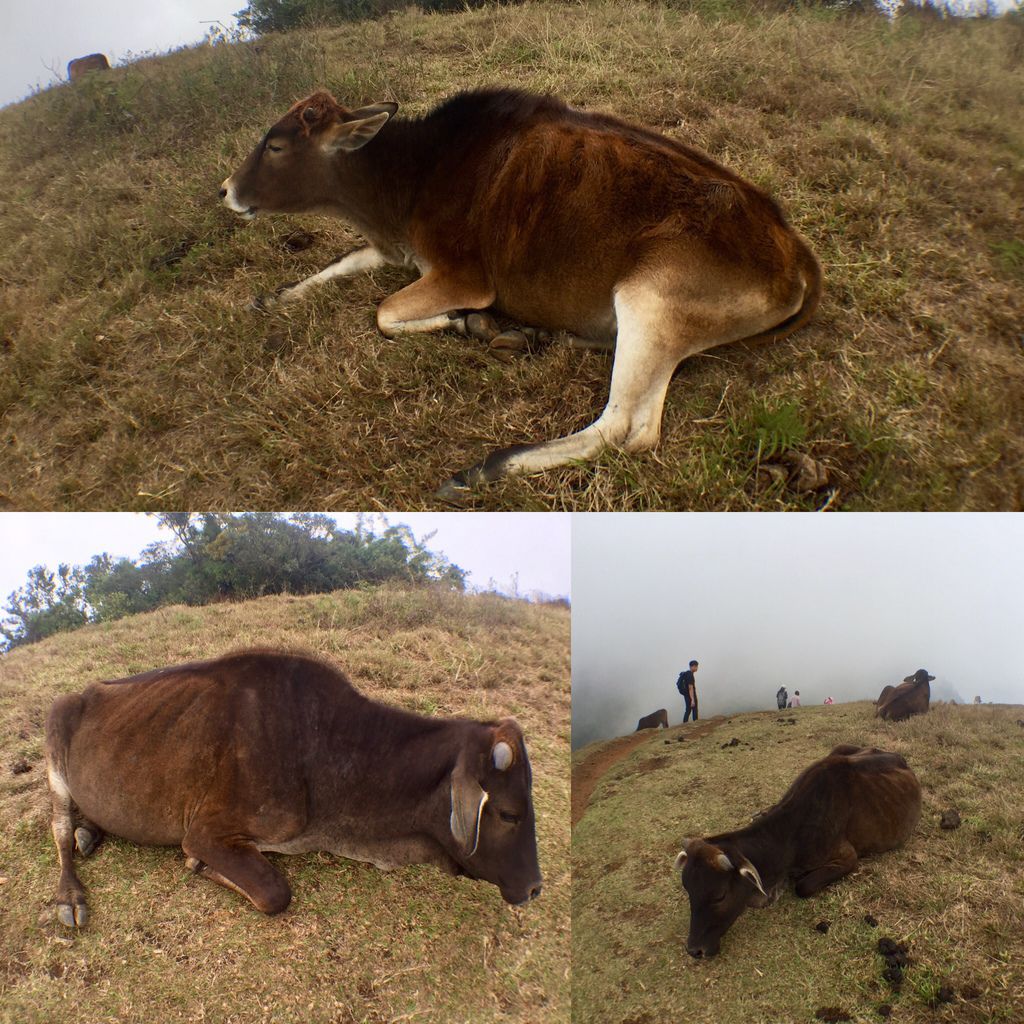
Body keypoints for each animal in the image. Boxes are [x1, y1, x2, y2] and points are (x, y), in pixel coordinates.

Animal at [46, 655, 544, 929]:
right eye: (509, 814)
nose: (535, 888)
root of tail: (83, 691)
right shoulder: (205, 832)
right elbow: (274, 894)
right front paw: (199, 865)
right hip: (54, 742)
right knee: (59, 829)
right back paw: (70, 895)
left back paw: (92, 831)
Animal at [220, 88, 819, 495]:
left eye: (276, 145)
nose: (225, 190)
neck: (416, 171)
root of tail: (792, 246)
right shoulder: (398, 251)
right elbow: (338, 264)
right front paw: (273, 297)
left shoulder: (462, 277)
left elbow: (384, 313)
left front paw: (467, 323)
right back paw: (537, 338)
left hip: (648, 300)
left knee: (622, 428)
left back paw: (484, 468)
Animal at [671, 745, 921, 958]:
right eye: (688, 889)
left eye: (720, 896)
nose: (694, 950)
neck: (791, 834)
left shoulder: (849, 859)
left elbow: (803, 886)